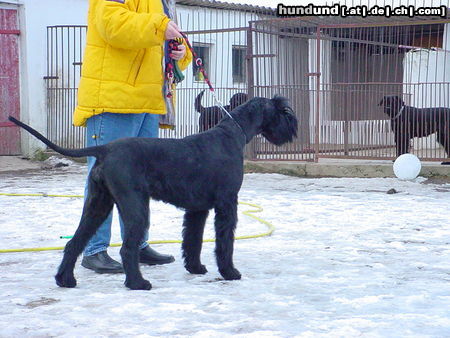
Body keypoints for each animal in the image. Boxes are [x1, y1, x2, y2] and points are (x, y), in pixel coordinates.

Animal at [8, 95, 298, 290]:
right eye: (283, 110)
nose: (293, 126)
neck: (232, 134)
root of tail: (106, 149)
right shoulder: (227, 204)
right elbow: (224, 242)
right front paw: (230, 272)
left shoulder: (197, 208)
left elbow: (192, 240)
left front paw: (195, 268)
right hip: (136, 207)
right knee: (127, 248)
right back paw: (138, 283)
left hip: (98, 204)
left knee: (75, 241)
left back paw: (65, 280)